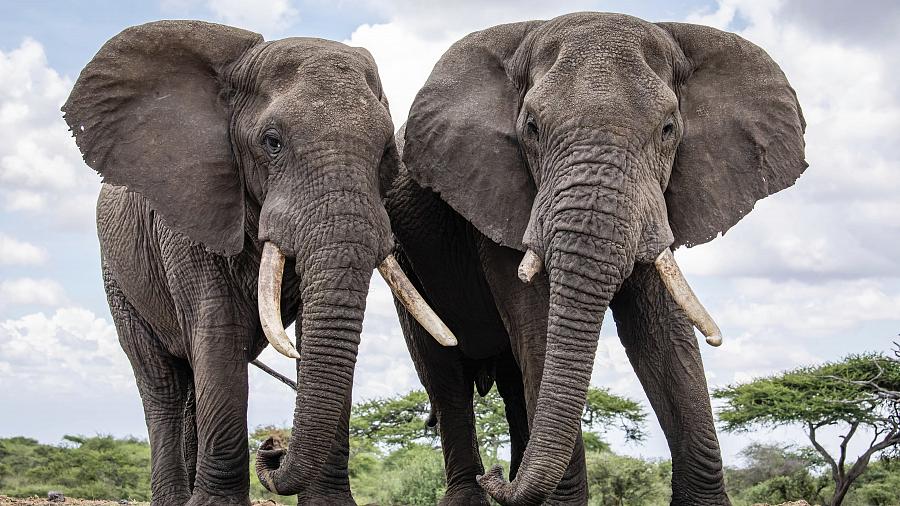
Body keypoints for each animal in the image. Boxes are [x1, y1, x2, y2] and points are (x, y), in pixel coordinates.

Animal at [62, 20, 455, 506]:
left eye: (387, 152)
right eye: (272, 143)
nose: (272, 446)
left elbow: (309, 335)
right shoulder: (191, 211)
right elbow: (218, 330)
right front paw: (214, 505)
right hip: (118, 278)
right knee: (162, 383)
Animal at [387, 12, 806, 506]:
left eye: (669, 128)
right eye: (531, 127)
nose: (495, 476)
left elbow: (662, 331)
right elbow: (538, 326)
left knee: (511, 382)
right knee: (446, 376)